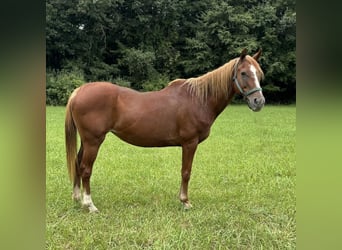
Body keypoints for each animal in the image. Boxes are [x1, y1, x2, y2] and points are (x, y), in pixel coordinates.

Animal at [65, 47, 266, 212]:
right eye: (243, 73)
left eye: (259, 74)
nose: (259, 101)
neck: (199, 99)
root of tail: (79, 91)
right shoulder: (190, 143)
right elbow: (186, 172)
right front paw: (185, 201)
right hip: (94, 141)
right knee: (85, 169)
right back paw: (90, 205)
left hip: (86, 141)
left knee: (77, 162)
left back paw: (77, 198)